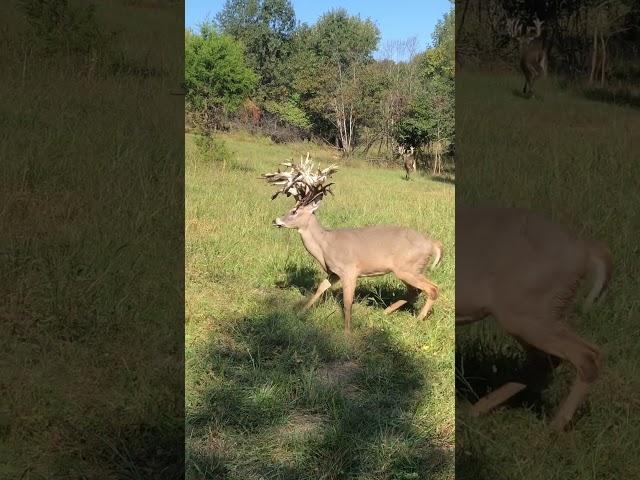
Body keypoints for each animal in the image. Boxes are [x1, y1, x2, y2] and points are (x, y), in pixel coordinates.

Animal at [262, 154, 442, 334]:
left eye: (294, 211)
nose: (275, 220)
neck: (325, 244)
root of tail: (431, 244)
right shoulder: (334, 273)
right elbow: (320, 288)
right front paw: (301, 311)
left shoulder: (349, 270)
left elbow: (348, 302)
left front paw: (347, 331)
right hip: (408, 270)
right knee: (415, 292)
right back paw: (385, 312)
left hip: (408, 268)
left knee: (432, 288)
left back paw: (418, 319)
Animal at [458, 206, 612, 432]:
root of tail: (583, 250)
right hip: (530, 314)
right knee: (546, 362)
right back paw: (478, 409)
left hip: (529, 311)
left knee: (587, 356)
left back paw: (555, 426)